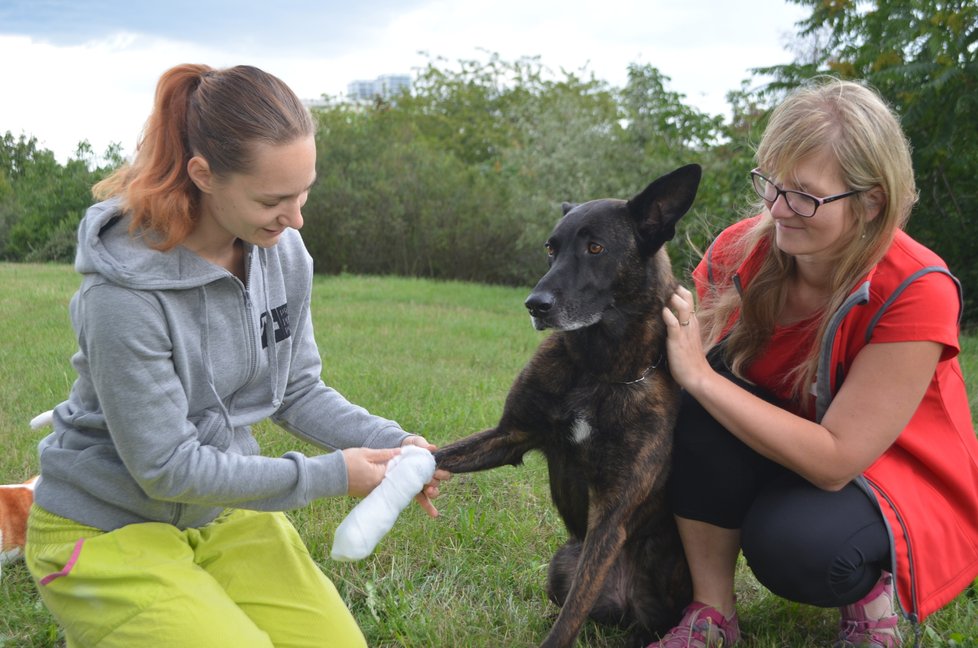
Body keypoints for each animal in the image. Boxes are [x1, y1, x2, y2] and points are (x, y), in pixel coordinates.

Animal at [430, 163, 696, 648]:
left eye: (596, 247)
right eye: (550, 249)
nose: (535, 305)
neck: (597, 371)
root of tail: (623, 611)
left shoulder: (610, 515)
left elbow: (570, 618)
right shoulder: (509, 436)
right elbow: (433, 455)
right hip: (561, 562)